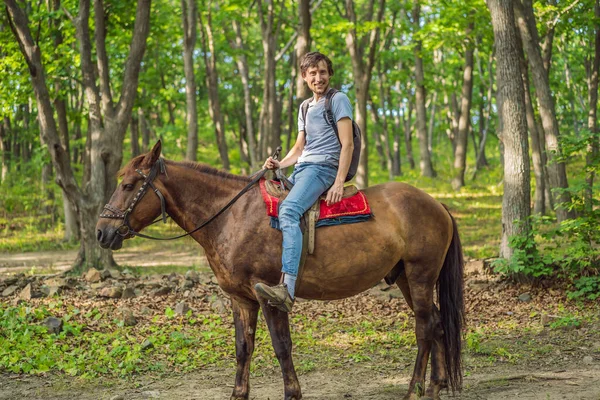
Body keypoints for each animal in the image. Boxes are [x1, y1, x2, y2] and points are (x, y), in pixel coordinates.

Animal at [97, 142, 464, 400]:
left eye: (128, 185)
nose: (102, 232)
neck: (231, 216)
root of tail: (437, 204)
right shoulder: (241, 299)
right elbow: (243, 348)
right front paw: (239, 394)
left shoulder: (270, 295)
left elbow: (281, 346)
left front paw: (292, 392)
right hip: (405, 277)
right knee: (437, 322)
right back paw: (437, 386)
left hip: (419, 274)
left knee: (425, 328)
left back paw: (416, 389)